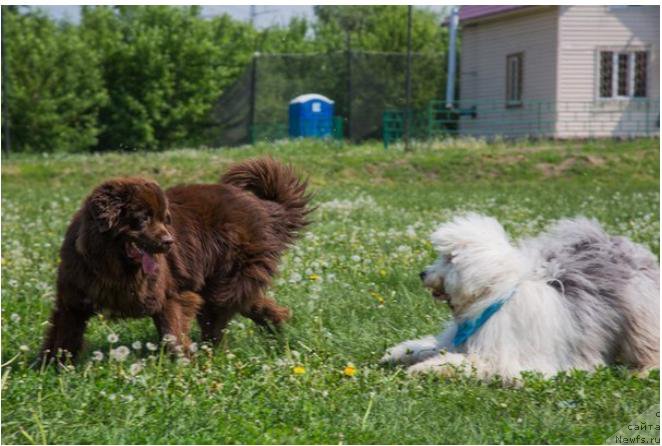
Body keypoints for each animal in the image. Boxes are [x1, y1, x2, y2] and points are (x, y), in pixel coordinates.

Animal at [40, 158, 312, 362]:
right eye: (143, 218)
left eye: (164, 218)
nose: (169, 242)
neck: (113, 266)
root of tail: (265, 208)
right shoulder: (74, 298)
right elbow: (63, 336)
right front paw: (49, 368)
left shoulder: (170, 294)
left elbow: (173, 332)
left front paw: (183, 364)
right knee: (253, 303)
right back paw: (278, 329)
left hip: (226, 281)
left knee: (220, 317)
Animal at [382, 214, 660, 382]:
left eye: (449, 258)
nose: (422, 274)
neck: (493, 300)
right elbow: (426, 347)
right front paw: (398, 354)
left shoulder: (506, 361)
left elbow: (465, 362)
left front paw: (423, 369)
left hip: (640, 321)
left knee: (649, 347)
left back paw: (642, 372)